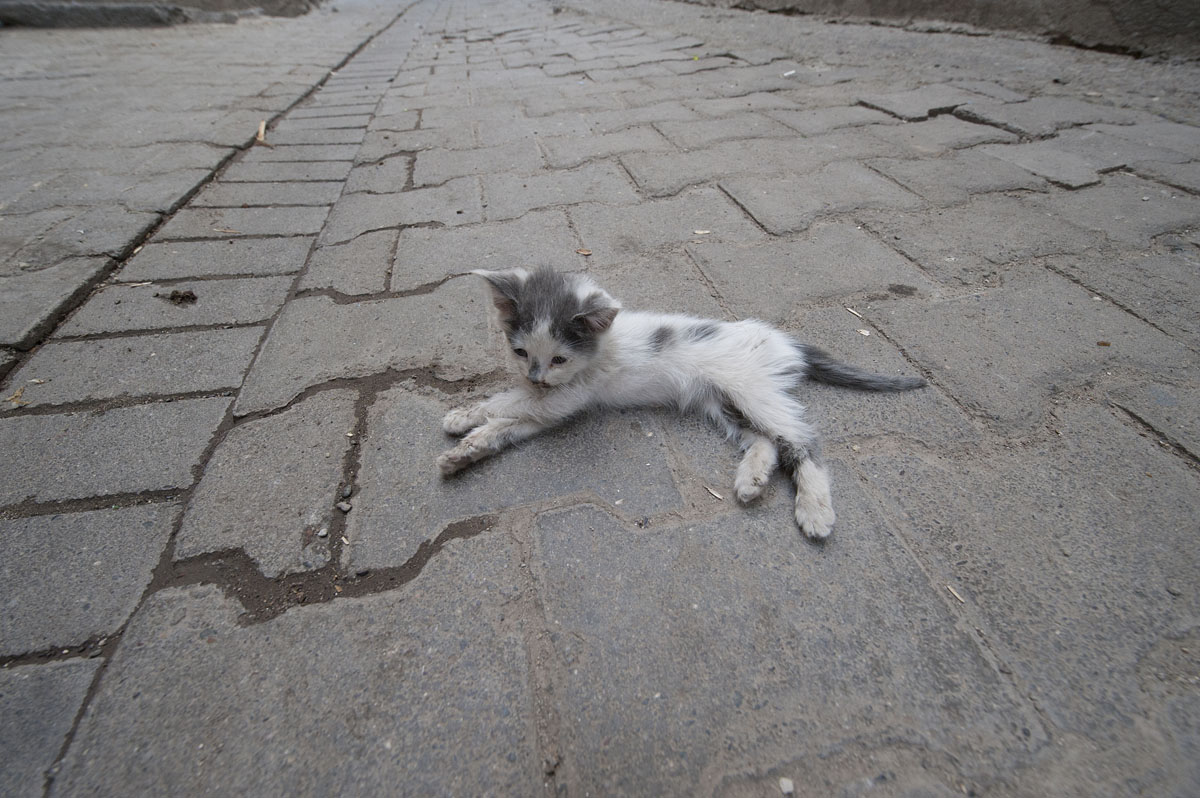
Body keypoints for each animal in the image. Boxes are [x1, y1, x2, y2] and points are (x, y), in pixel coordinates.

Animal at [437, 267, 926, 541]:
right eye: (521, 352)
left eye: (559, 358)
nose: (535, 375)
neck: (601, 346)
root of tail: (785, 343)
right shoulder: (548, 404)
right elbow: (509, 419)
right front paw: (465, 446)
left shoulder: (568, 396)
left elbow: (510, 404)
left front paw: (465, 420)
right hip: (722, 402)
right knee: (765, 442)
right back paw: (751, 480)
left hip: (751, 391)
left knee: (801, 441)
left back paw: (815, 510)